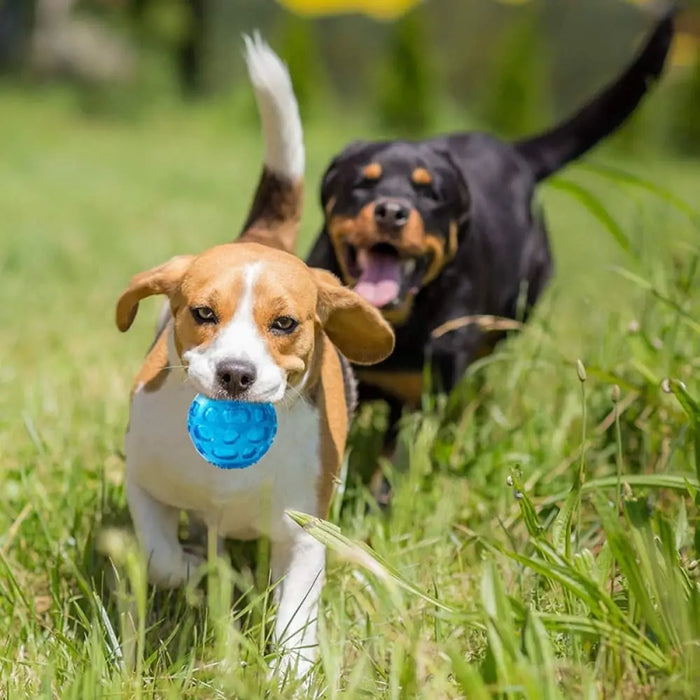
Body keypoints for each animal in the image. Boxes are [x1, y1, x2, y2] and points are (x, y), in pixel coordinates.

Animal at [308, 12, 680, 470]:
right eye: (363, 183)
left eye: (431, 194)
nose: (391, 211)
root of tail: (516, 155)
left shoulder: (422, 393)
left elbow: (392, 465)